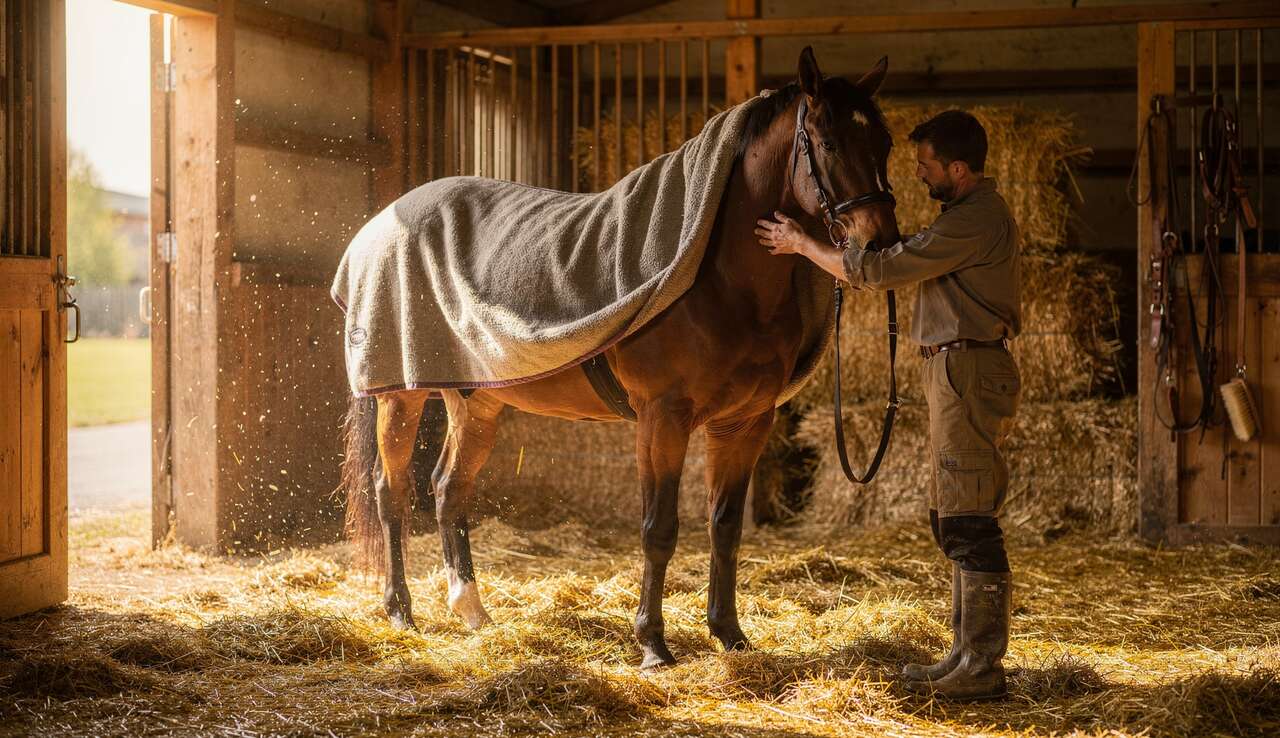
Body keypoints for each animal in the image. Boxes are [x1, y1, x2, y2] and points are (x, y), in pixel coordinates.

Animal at [337, 47, 901, 669]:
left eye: (885, 142)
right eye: (827, 142)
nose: (879, 244)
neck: (723, 283)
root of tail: (380, 223)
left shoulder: (746, 421)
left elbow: (725, 527)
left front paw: (729, 634)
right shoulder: (662, 418)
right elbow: (660, 529)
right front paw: (653, 643)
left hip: (475, 402)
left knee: (447, 489)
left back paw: (474, 612)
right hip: (398, 394)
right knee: (392, 492)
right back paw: (400, 612)